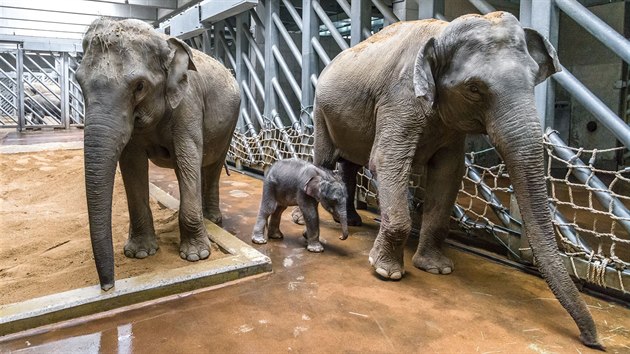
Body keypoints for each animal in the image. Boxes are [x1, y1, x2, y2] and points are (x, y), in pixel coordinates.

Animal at [76, 18, 239, 290]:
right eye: (79, 83)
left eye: (140, 86)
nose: (108, 287)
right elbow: (132, 165)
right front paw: (140, 254)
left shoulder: (188, 102)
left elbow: (187, 156)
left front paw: (196, 257)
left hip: (230, 124)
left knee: (211, 166)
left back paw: (212, 220)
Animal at [314, 12, 604, 350]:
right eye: (475, 88)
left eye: (535, 78)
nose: (592, 340)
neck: (442, 32)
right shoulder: (399, 99)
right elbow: (386, 160)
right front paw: (387, 273)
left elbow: (448, 173)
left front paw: (437, 269)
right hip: (321, 109)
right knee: (326, 160)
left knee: (351, 165)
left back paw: (353, 221)